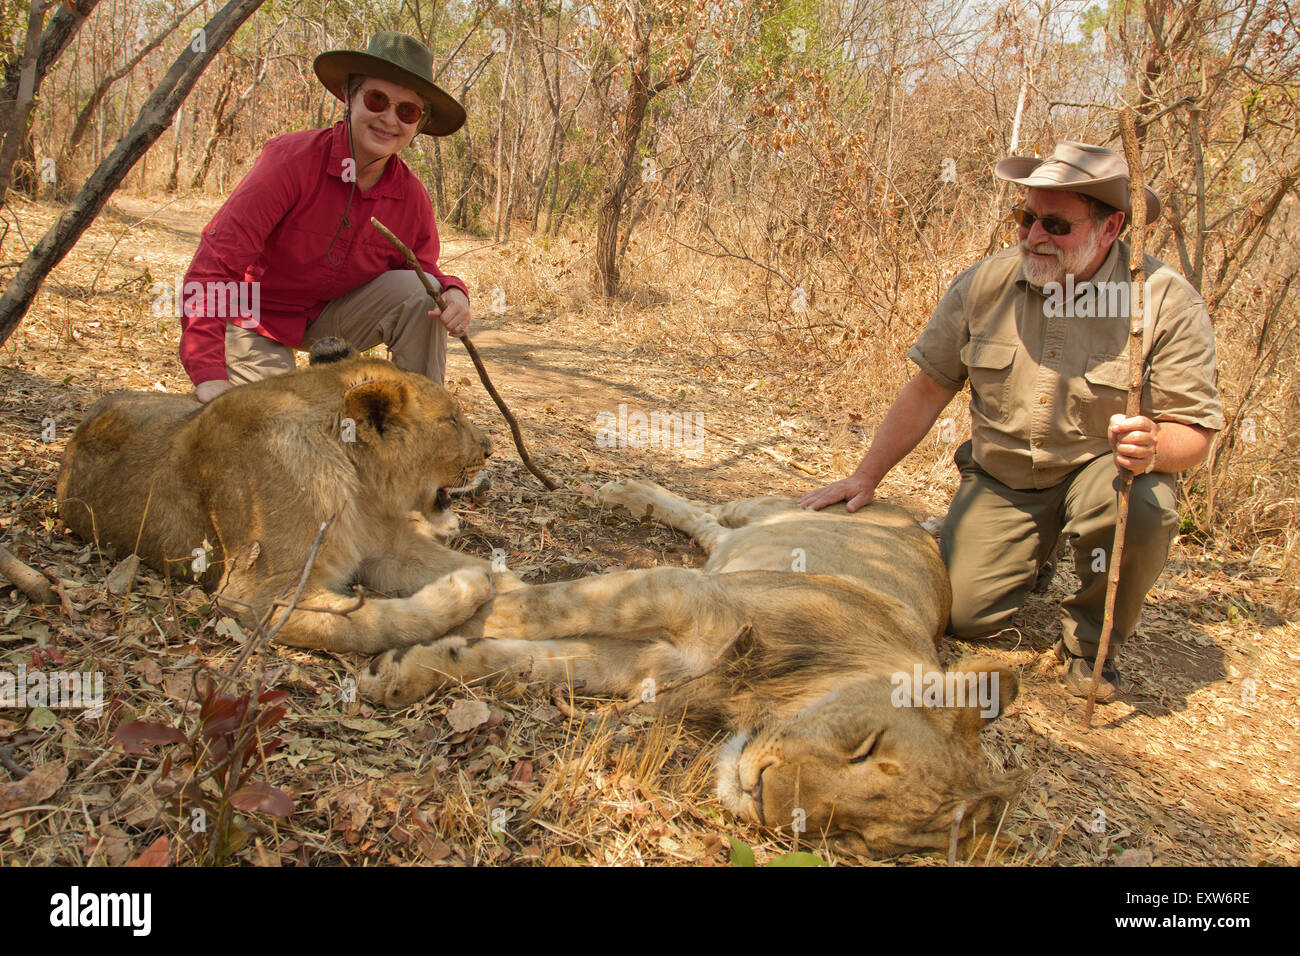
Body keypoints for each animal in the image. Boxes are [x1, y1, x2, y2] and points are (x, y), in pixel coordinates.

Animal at [56, 339, 495, 653]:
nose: (490, 448)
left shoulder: (386, 547)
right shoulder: (257, 594)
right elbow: (376, 624)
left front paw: (494, 578)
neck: (359, 486)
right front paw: (466, 588)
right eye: (452, 420)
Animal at [360, 478, 1022, 856]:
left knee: (709, 530)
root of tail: (913, 516)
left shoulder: (652, 662)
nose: (760, 796)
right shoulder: (681, 593)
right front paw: (439, 606)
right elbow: (541, 605)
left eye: (855, 837)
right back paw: (624, 492)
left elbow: (522, 661)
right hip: (779, 509)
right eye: (865, 747)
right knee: (712, 509)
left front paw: (405, 669)